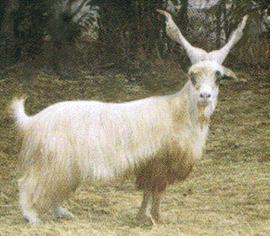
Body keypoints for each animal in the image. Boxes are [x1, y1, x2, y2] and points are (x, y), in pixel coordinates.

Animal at [10, 10, 248, 224]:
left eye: (218, 77)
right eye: (192, 75)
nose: (205, 96)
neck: (177, 112)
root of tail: (31, 120)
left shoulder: (155, 165)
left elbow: (154, 193)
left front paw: (154, 217)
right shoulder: (156, 163)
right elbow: (151, 192)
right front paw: (148, 218)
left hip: (64, 166)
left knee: (52, 190)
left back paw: (62, 213)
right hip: (50, 161)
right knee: (26, 183)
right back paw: (32, 217)